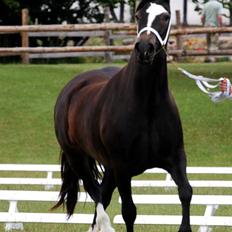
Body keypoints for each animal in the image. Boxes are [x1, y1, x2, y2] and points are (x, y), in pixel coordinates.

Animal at [54, 0, 192, 232]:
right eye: (137, 16)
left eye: (165, 17)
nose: (145, 49)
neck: (148, 104)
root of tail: (71, 88)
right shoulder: (122, 167)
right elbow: (129, 211)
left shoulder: (175, 158)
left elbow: (186, 192)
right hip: (77, 158)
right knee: (96, 193)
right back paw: (105, 225)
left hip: (108, 167)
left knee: (103, 193)